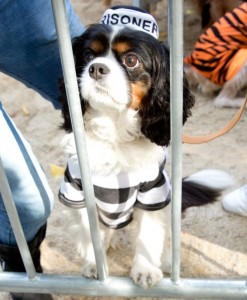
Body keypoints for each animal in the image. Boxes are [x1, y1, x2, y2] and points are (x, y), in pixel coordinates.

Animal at [58, 5, 233, 288]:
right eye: (87, 55)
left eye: (131, 60)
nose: (96, 68)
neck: (114, 130)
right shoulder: (76, 188)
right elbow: (89, 231)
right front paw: (96, 263)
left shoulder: (153, 192)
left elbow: (149, 235)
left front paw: (146, 269)